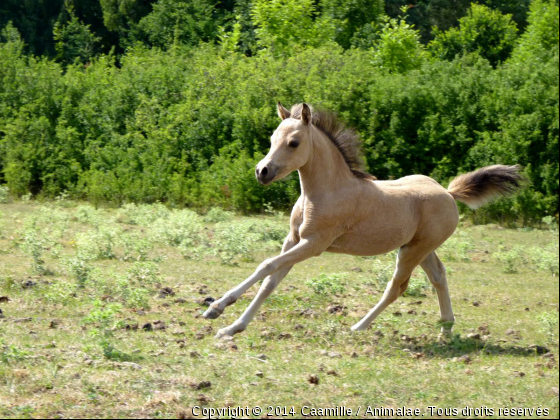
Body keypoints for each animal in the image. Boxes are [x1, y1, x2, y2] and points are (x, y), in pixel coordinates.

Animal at [203, 103, 524, 340]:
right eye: (271, 139)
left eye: (294, 143)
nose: (262, 171)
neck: (325, 191)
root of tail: (448, 192)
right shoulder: (293, 240)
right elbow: (271, 282)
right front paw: (231, 326)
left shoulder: (314, 244)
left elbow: (266, 265)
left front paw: (217, 307)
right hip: (421, 248)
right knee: (439, 277)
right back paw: (445, 329)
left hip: (412, 251)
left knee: (396, 287)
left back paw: (358, 327)